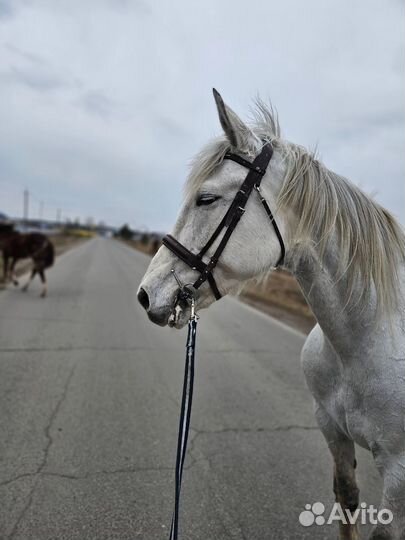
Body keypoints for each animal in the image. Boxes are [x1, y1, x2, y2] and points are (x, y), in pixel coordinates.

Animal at [138, 90, 404, 536]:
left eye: (206, 198)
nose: (145, 294)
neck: (366, 342)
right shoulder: (332, 429)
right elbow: (347, 501)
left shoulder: (398, 476)